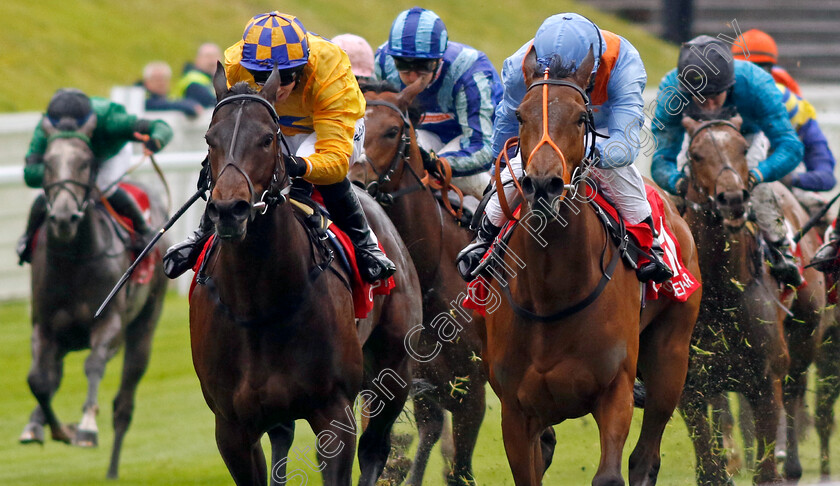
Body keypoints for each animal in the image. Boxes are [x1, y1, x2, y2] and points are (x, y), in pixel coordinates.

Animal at [20, 114, 169, 478]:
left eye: (86, 162)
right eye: (47, 163)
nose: (62, 218)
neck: (73, 259)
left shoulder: (110, 324)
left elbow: (94, 364)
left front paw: (85, 427)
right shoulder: (44, 327)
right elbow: (38, 381)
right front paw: (55, 429)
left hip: (145, 325)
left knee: (124, 404)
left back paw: (112, 469)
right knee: (53, 377)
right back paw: (37, 423)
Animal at [192, 65, 420, 486]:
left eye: (267, 138)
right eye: (209, 139)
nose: (229, 210)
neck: (258, 306)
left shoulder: (334, 412)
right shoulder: (231, 428)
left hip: (393, 368)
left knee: (375, 448)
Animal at [482, 46, 700, 486]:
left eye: (581, 118)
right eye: (520, 116)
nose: (542, 184)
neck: (551, 293)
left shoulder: (614, 390)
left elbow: (611, 474)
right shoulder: (516, 411)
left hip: (671, 358)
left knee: (645, 457)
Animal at [680, 116, 824, 484]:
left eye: (743, 149)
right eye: (696, 154)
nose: (731, 198)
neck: (721, 294)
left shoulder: (766, 381)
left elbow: (766, 470)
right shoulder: (690, 388)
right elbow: (711, 470)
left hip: (805, 338)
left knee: (795, 392)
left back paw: (793, 463)